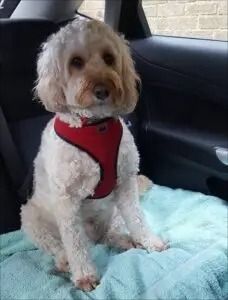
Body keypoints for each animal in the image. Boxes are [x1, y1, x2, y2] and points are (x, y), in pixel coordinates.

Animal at [20, 18, 167, 290]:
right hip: (32, 218)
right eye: (76, 62)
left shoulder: (125, 183)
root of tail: (94, 233)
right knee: (59, 245)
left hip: (113, 210)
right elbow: (75, 243)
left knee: (108, 234)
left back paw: (123, 239)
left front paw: (149, 241)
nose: (102, 89)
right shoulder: (66, 201)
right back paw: (65, 261)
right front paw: (85, 275)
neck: (95, 126)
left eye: (109, 58)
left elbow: (137, 218)